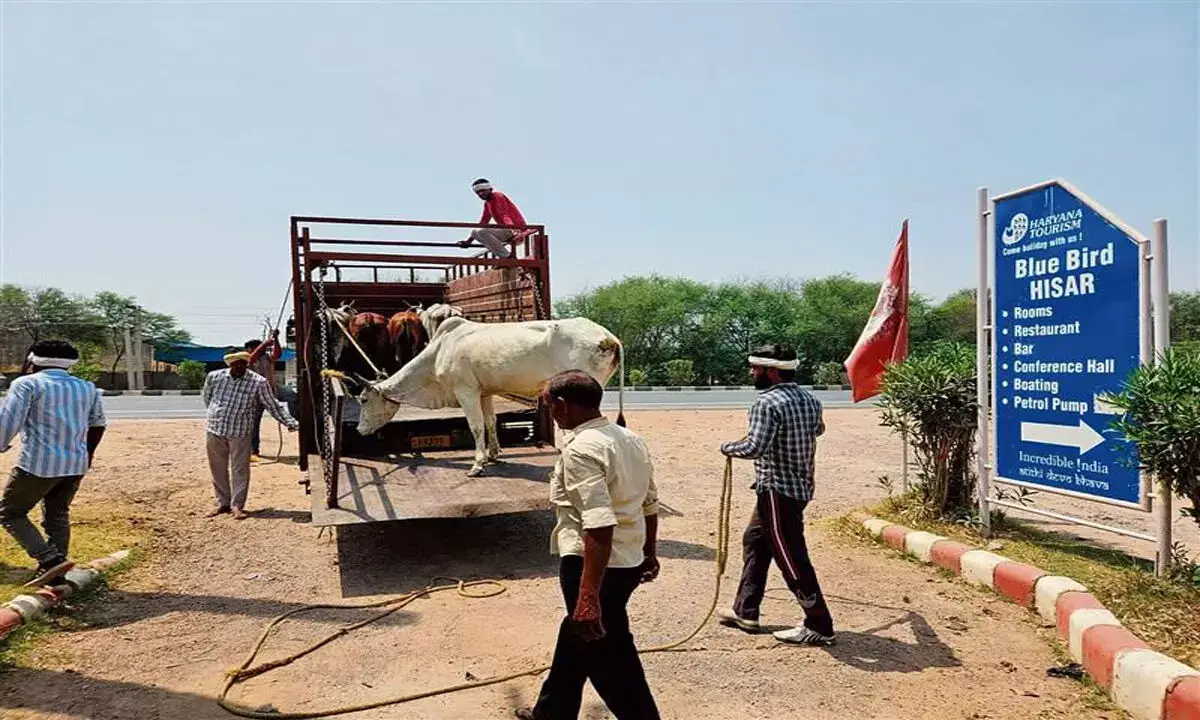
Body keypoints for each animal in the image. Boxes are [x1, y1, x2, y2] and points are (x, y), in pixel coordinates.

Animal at [357, 316, 628, 475]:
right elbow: (490, 422)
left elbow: (476, 426)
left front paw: (477, 464)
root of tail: (609, 337)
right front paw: (493, 456)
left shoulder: (465, 390)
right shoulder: (483, 392)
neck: (439, 351)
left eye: (363, 400)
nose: (359, 430)